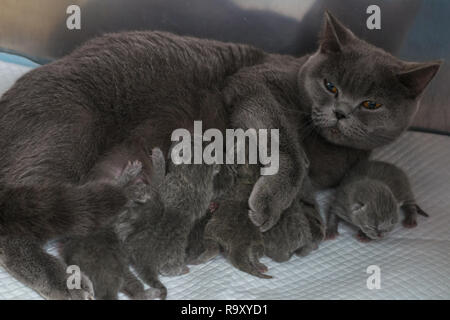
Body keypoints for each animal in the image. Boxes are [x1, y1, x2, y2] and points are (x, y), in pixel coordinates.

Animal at [0, 10, 440, 300]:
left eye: (371, 104)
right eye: (330, 85)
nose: (340, 112)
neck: (330, 147)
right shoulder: (254, 83)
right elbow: (288, 147)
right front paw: (271, 202)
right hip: (69, 128)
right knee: (12, 224)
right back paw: (62, 282)